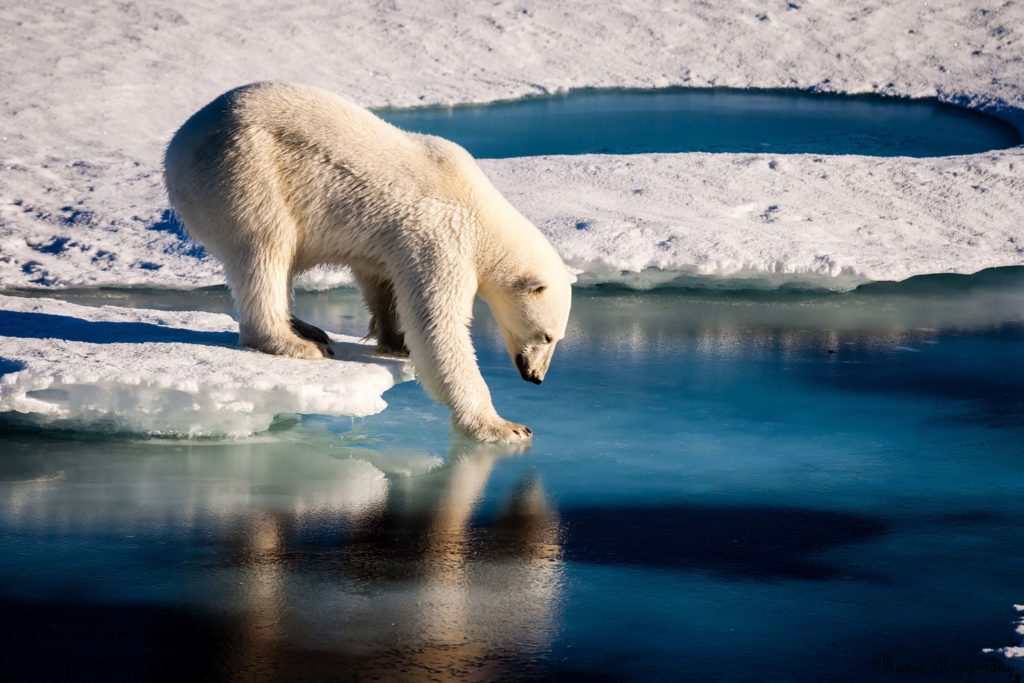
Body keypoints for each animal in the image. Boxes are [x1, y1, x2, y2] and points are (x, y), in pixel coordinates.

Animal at [163, 81, 573, 444]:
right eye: (546, 335)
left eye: (557, 337)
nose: (536, 376)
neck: (480, 211)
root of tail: (178, 144)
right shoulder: (442, 239)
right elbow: (438, 327)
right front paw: (505, 426)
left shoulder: (394, 242)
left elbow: (382, 281)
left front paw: (396, 341)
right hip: (245, 171)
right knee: (265, 249)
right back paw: (295, 343)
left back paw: (307, 327)